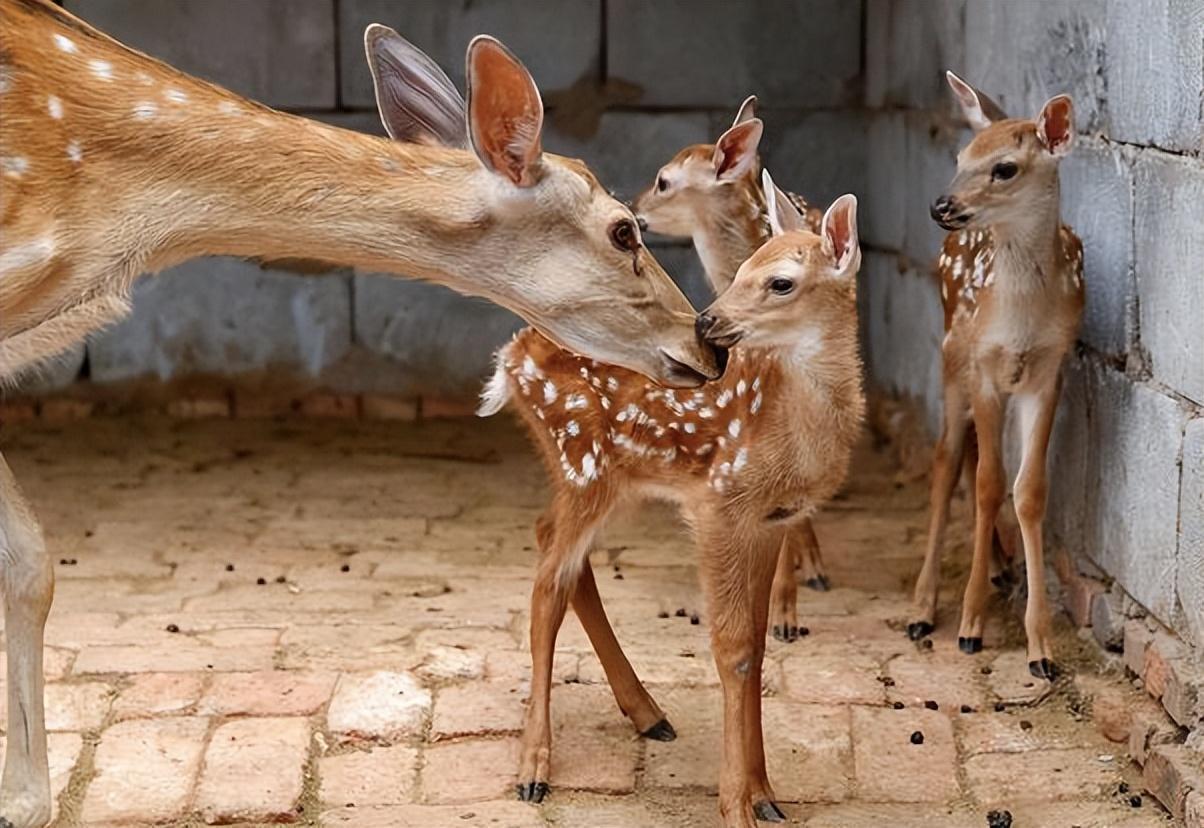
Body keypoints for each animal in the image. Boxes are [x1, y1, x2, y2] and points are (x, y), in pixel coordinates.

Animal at [479, 178, 866, 823]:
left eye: (780, 281)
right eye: (740, 269)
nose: (707, 323)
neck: (794, 432)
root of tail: (509, 361)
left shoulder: (769, 520)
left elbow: (757, 648)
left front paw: (766, 795)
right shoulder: (717, 503)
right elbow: (731, 650)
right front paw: (737, 805)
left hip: (609, 476)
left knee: (554, 546)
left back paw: (647, 714)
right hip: (582, 458)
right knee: (546, 585)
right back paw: (534, 768)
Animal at [905, 72, 1088, 678]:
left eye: (1004, 167)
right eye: (961, 156)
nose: (941, 204)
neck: (1021, 319)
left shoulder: (1050, 370)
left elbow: (1027, 490)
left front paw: (1041, 647)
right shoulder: (983, 365)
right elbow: (987, 483)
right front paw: (970, 623)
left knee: (966, 456)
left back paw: (1001, 568)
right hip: (950, 355)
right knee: (946, 460)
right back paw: (923, 608)